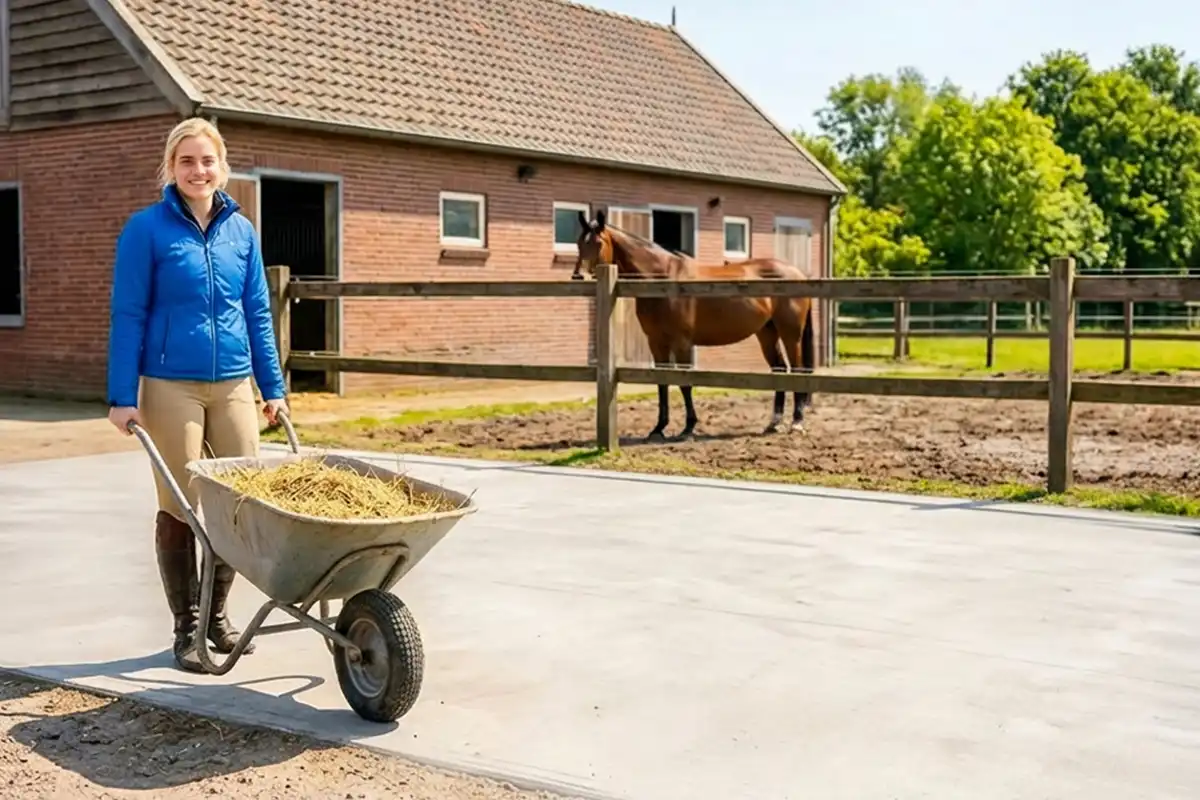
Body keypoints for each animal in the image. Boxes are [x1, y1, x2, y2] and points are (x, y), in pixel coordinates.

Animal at [571, 209, 816, 441]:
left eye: (598, 242)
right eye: (578, 242)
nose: (578, 276)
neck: (663, 279)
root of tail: (798, 274)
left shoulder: (682, 343)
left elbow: (685, 383)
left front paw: (688, 428)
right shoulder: (656, 343)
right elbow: (662, 382)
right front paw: (658, 429)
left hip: (790, 334)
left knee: (797, 370)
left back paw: (797, 422)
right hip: (767, 333)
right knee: (780, 369)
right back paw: (774, 422)